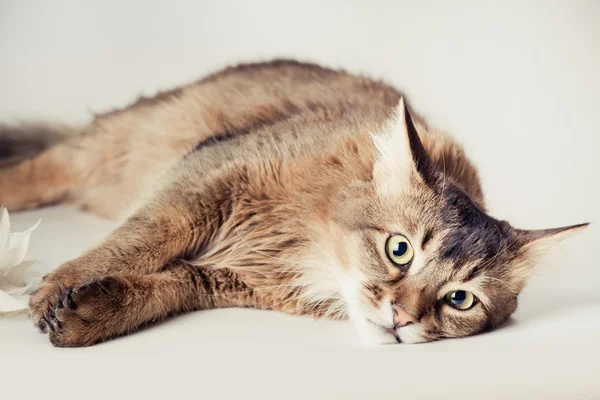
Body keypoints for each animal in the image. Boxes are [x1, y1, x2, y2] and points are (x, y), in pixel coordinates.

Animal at [0, 59, 588, 346]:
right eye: (399, 250)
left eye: (460, 300)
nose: (400, 318)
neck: (309, 251)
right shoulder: (208, 174)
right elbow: (144, 235)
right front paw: (57, 287)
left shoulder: (225, 279)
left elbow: (161, 289)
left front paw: (89, 313)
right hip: (115, 144)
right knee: (42, 168)